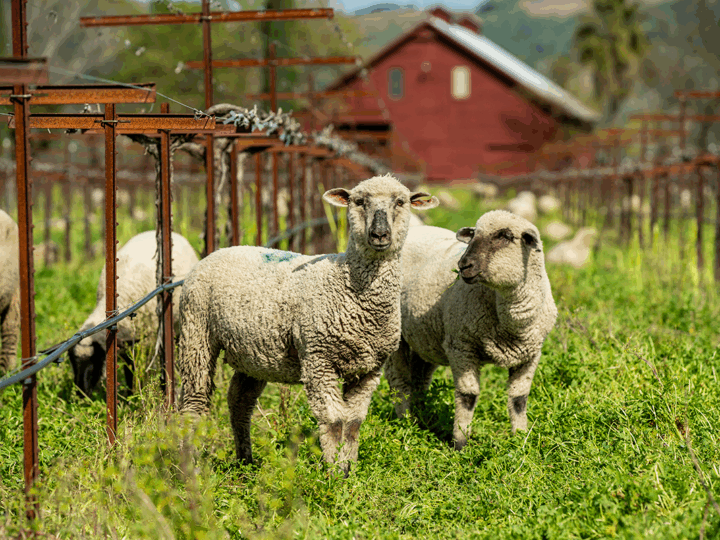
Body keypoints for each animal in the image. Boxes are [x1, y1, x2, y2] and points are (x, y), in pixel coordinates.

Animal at [68, 231, 199, 395]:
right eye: (73, 363)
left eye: (96, 361)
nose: (81, 393)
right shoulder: (125, 342)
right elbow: (128, 369)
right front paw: (131, 394)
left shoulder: (143, 340)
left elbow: (135, 370)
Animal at [176, 174, 438, 473]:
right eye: (359, 201)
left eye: (401, 202)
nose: (380, 234)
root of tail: (219, 251)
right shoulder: (318, 359)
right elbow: (334, 421)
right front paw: (334, 472)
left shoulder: (370, 369)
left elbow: (354, 423)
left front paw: (349, 469)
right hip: (196, 331)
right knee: (194, 402)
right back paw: (190, 467)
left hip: (254, 353)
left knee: (240, 400)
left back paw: (246, 460)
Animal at [384, 211, 557, 449]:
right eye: (474, 234)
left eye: (505, 236)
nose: (463, 265)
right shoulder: (461, 346)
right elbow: (468, 396)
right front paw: (460, 443)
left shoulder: (531, 354)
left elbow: (519, 399)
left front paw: (520, 439)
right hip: (396, 332)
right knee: (399, 381)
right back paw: (406, 423)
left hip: (425, 336)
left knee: (419, 378)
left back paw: (420, 417)